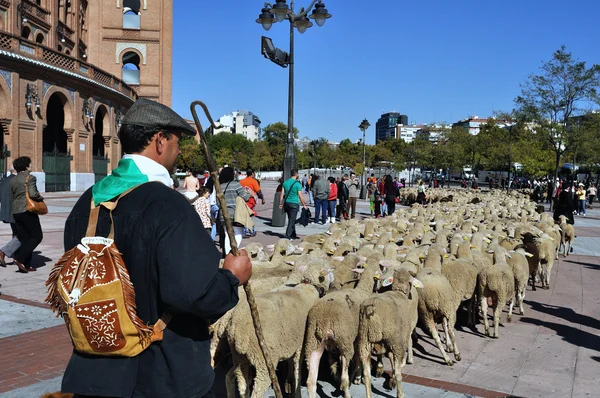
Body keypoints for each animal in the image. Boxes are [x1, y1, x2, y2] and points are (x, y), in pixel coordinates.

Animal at [304, 258, 380, 398]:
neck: (362, 291)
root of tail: (324, 320)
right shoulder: (358, 337)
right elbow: (358, 359)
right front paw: (358, 377)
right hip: (344, 342)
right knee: (344, 378)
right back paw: (347, 392)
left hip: (313, 343)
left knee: (310, 381)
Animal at [358, 268, 424, 398]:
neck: (400, 293)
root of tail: (370, 310)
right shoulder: (399, 340)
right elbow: (398, 363)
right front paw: (392, 380)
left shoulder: (387, 344)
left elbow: (390, 358)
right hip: (395, 340)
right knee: (399, 372)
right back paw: (400, 393)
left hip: (364, 342)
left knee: (367, 374)